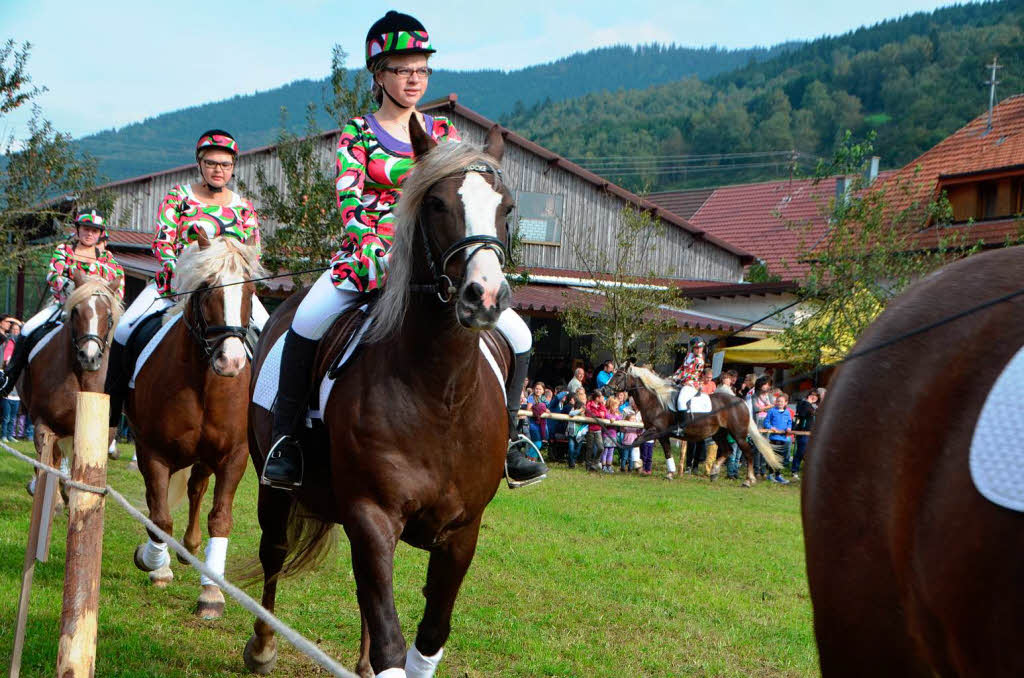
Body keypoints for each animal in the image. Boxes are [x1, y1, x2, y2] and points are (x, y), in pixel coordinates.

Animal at [18, 270, 123, 499]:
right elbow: (50, 458)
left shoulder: (103, 430)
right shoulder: (43, 420)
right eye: (76, 311)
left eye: (108, 316)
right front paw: (55, 498)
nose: (89, 357)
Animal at [125, 233, 262, 622]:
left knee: (197, 489)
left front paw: (211, 593)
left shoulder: (233, 457)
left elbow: (220, 518)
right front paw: (153, 563)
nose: (231, 361)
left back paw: (190, 548)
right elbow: (160, 517)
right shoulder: (153, 452)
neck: (204, 383)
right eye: (206, 289)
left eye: (250, 289)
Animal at [244, 123, 520, 678]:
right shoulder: (371, 516)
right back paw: (262, 646)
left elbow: (429, 634)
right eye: (435, 203)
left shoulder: (462, 532)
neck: (441, 395)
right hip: (273, 484)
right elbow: (392, 641)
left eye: (506, 208)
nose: (484, 297)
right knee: (274, 553)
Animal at [602, 366, 778, 489]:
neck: (656, 400)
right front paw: (670, 473)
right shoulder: (661, 434)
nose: (604, 390)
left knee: (748, 453)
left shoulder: (656, 431)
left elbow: (636, 441)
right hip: (719, 434)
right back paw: (714, 473)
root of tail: (740, 401)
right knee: (727, 450)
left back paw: (748, 480)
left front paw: (638, 463)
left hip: (738, 435)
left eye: (619, 375)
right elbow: (664, 451)